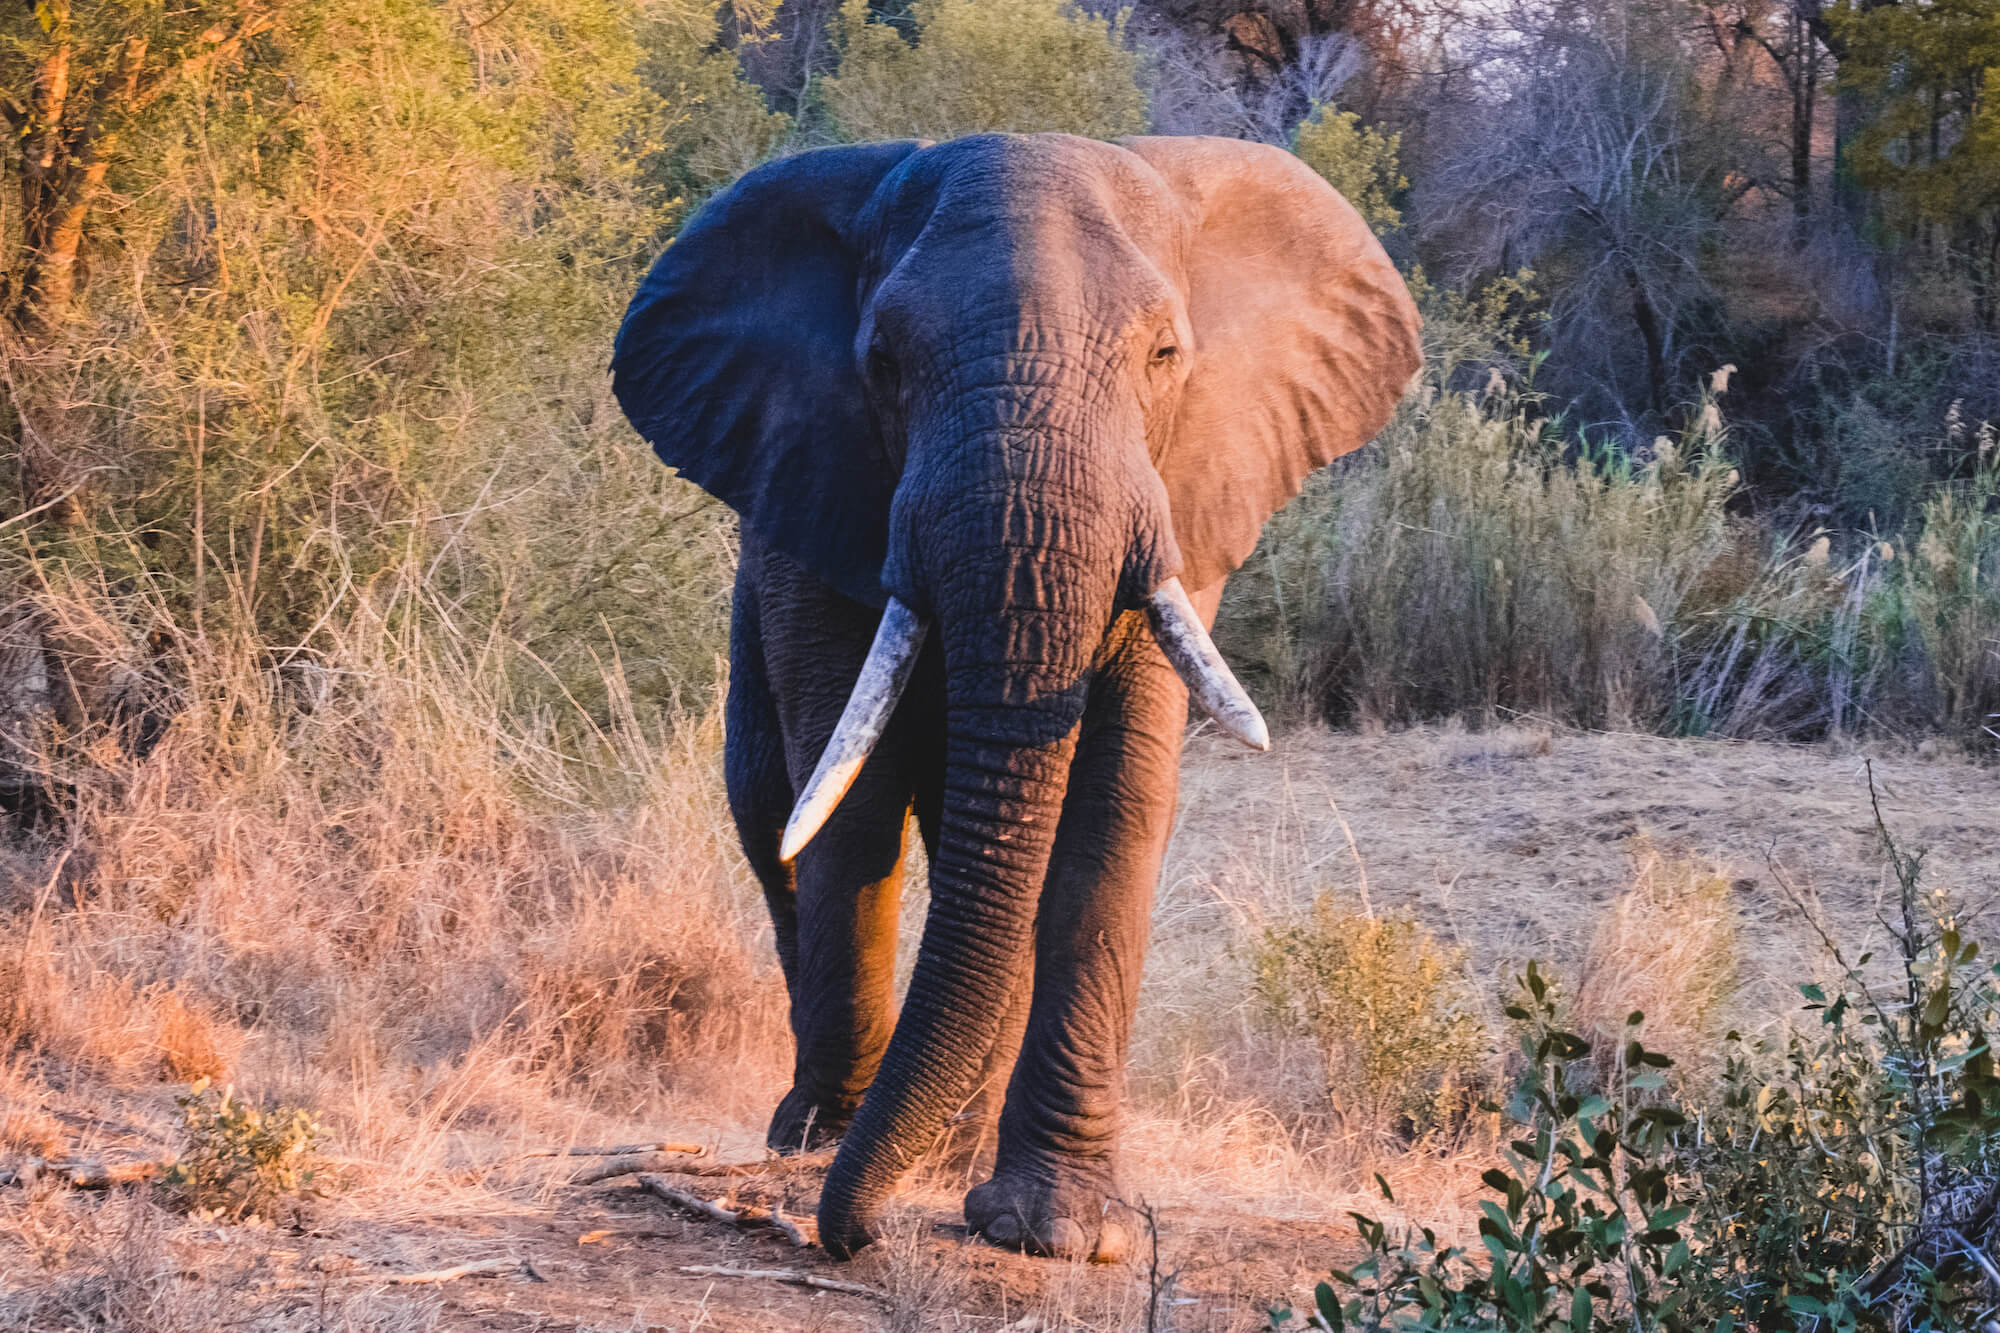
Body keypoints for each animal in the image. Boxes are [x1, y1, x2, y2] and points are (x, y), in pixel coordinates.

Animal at [608, 132, 1424, 1256]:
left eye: (1163, 357)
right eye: (883, 365)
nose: (849, 1235)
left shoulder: (1179, 514)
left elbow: (1115, 809)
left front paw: (1058, 1228)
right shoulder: (817, 516)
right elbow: (851, 807)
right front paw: (832, 1156)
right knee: (774, 812)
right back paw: (819, 1130)